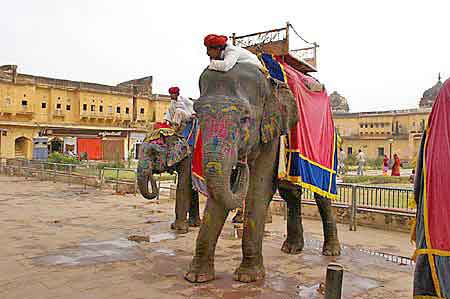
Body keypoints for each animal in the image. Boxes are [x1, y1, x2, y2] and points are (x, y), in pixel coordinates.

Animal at [185, 63, 340, 284]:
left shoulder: (273, 134)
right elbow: (220, 196)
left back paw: (331, 252)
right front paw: (197, 277)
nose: (242, 164)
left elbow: (259, 188)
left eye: (245, 119)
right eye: (198, 116)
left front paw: (248, 277)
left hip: (327, 150)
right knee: (290, 193)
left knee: (322, 195)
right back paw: (291, 249)